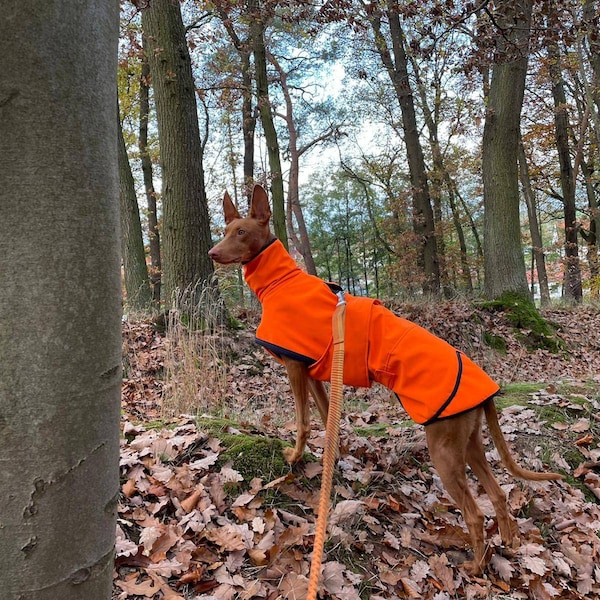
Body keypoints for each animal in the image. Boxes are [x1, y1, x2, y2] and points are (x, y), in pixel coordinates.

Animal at [207, 184, 564, 576]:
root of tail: (487, 389)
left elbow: (303, 422)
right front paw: (334, 456)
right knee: (498, 493)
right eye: (225, 230)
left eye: (241, 232)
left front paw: (295, 457)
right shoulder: (316, 373)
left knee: (473, 513)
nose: (212, 253)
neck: (280, 281)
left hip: (443, 450)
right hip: (468, 442)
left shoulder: (295, 368)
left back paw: (475, 567)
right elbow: (326, 417)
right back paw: (509, 543)